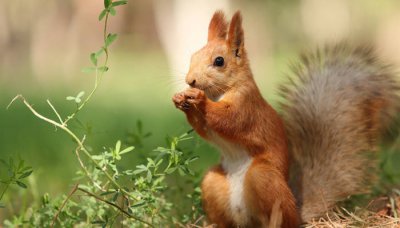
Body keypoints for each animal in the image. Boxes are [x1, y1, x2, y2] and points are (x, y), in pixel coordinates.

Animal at [171, 10, 400, 226]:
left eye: (219, 61)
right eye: (193, 56)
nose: (190, 80)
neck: (221, 92)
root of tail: (298, 212)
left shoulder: (247, 106)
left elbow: (229, 120)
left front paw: (199, 100)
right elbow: (205, 129)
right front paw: (181, 99)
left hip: (263, 178)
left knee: (280, 219)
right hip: (213, 183)